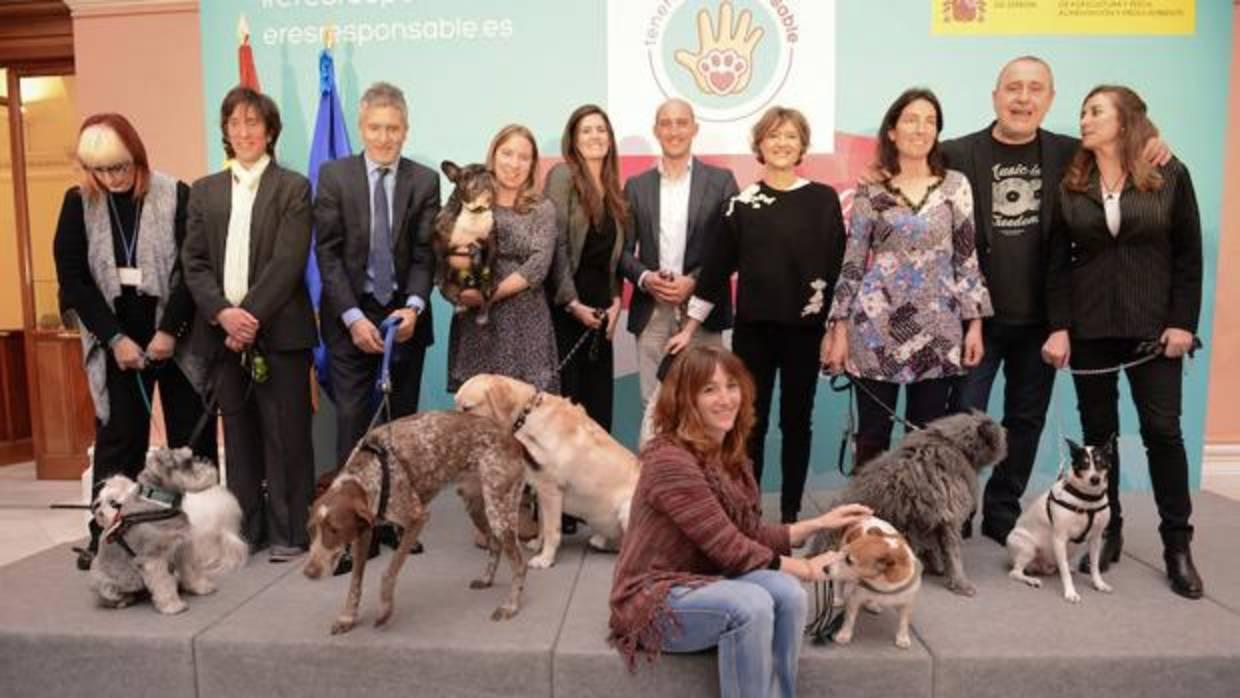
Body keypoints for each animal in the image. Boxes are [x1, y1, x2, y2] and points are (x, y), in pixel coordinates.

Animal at [89, 451, 246, 614]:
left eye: (190, 457)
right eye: (186, 462)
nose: (97, 510)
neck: (161, 503)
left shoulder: (184, 548)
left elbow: (193, 571)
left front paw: (201, 587)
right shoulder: (154, 559)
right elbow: (163, 583)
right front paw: (172, 605)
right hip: (107, 584)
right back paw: (123, 600)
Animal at [307, 411, 530, 634]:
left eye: (334, 530)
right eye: (311, 531)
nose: (308, 573)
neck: (368, 474)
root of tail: (511, 437)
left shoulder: (417, 518)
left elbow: (388, 573)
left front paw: (385, 609)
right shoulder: (363, 532)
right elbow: (355, 582)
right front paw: (348, 617)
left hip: (499, 511)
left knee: (520, 563)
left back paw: (511, 606)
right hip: (476, 505)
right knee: (494, 544)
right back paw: (487, 579)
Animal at [456, 376, 639, 567]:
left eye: (467, 408)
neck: (526, 417)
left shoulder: (551, 490)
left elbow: (552, 530)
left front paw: (545, 559)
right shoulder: (540, 490)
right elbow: (543, 524)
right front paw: (538, 545)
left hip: (627, 508)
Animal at [813, 411, 1006, 597]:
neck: (953, 444)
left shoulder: (928, 521)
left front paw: (936, 565)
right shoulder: (948, 518)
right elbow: (952, 552)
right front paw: (959, 581)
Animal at [1006, 438, 1116, 602]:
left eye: (1101, 463)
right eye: (1084, 464)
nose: (1095, 479)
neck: (1087, 499)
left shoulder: (1096, 539)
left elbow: (1094, 566)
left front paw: (1099, 583)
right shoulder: (1059, 539)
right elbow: (1065, 573)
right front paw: (1070, 592)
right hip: (1028, 547)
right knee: (1016, 572)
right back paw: (1031, 580)